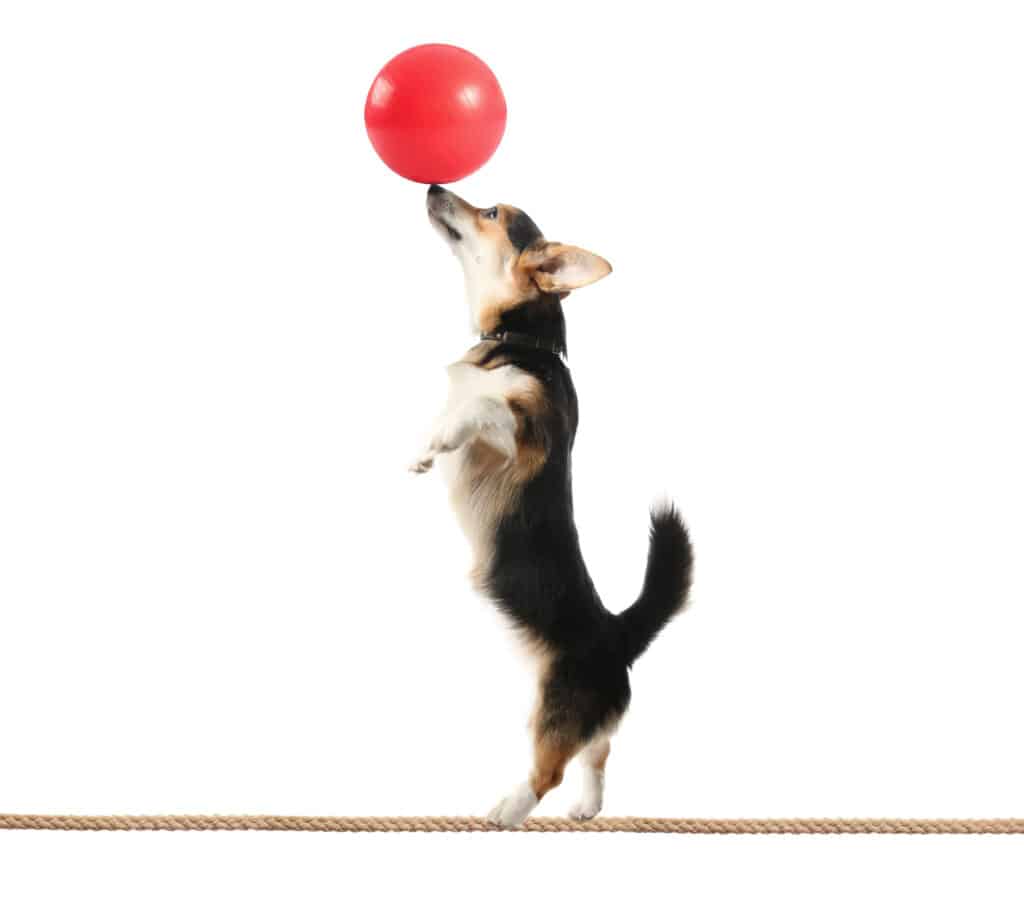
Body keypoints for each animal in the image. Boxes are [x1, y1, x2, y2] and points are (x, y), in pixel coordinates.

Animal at [411, 184, 692, 831]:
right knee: (599, 751)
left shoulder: (523, 436)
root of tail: (617, 635)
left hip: (553, 709)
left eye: (492, 214)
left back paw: (509, 808)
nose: (433, 188)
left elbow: (481, 408)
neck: (522, 341)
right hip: (583, 719)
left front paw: (441, 439)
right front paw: (427, 447)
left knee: (550, 769)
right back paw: (586, 805)